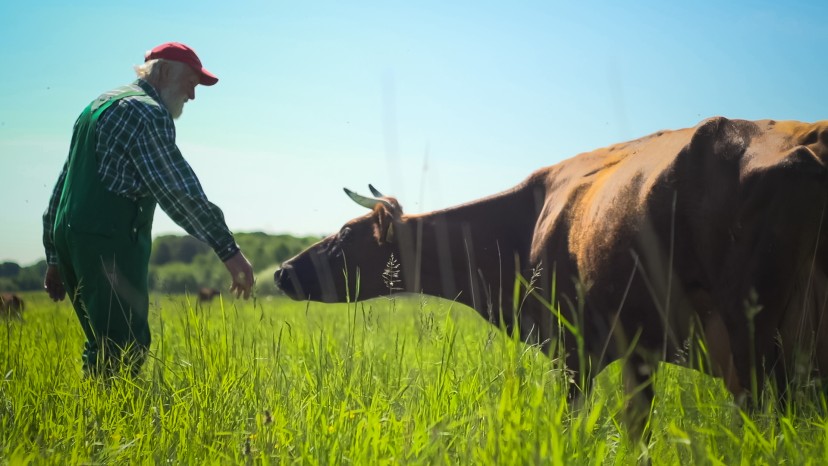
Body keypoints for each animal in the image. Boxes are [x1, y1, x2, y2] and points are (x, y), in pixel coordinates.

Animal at [274, 118, 828, 438]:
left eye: (346, 234)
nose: (281, 271)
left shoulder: (573, 348)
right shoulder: (638, 349)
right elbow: (637, 430)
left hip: (751, 338)